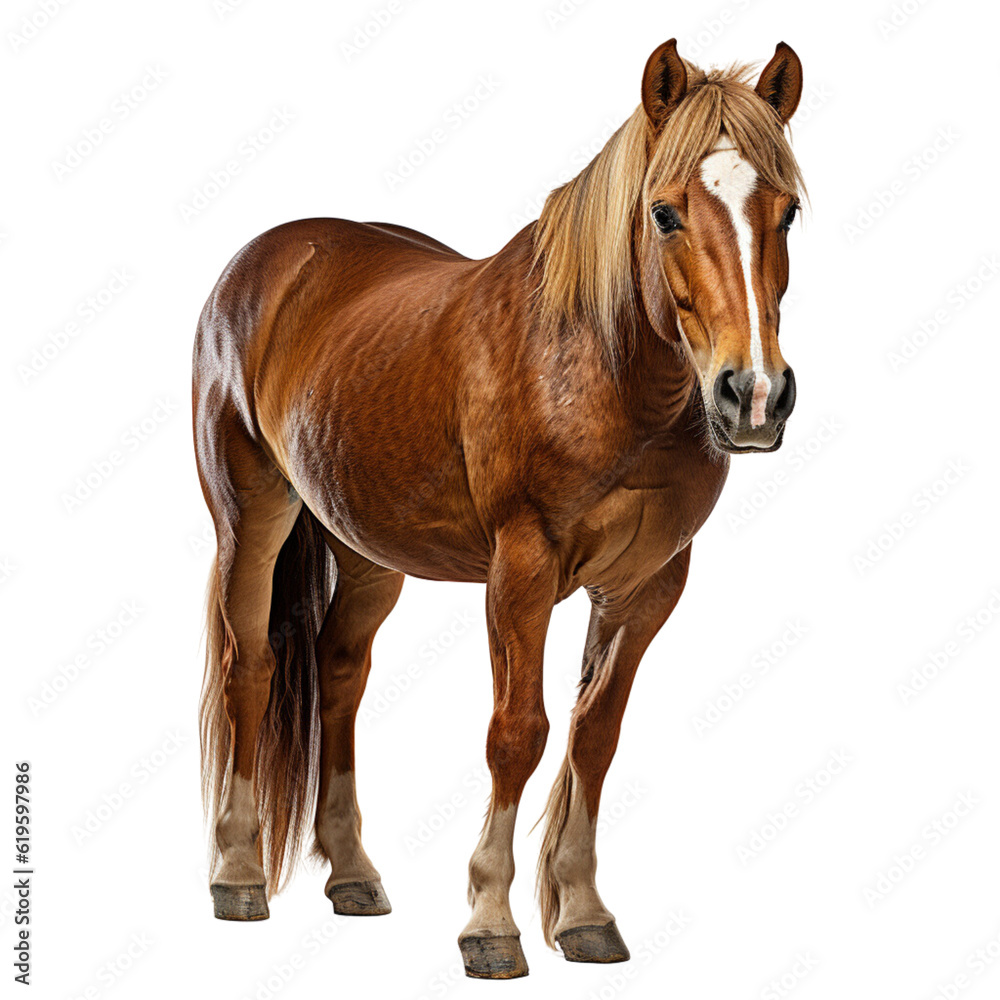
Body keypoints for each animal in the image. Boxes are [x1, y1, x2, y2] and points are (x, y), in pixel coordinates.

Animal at [193, 38, 806, 979]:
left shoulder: (647, 585)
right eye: (665, 213)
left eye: (789, 213)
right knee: (249, 666)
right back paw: (236, 872)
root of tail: (271, 258)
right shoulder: (521, 570)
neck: (602, 366)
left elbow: (594, 735)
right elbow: (518, 732)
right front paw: (490, 922)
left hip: (368, 547)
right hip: (247, 519)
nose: (755, 396)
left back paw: (354, 873)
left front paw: (583, 912)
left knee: (340, 671)